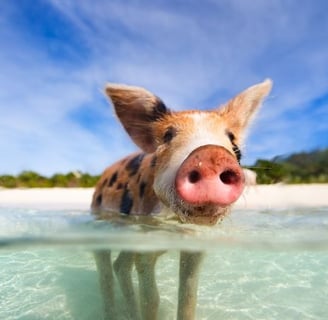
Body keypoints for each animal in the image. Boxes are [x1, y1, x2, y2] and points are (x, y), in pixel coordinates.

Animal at [91, 78, 272, 320]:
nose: (210, 154)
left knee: (120, 266)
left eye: (232, 140)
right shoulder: (145, 241)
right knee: (106, 273)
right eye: (168, 135)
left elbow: (188, 297)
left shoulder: (195, 245)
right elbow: (152, 299)